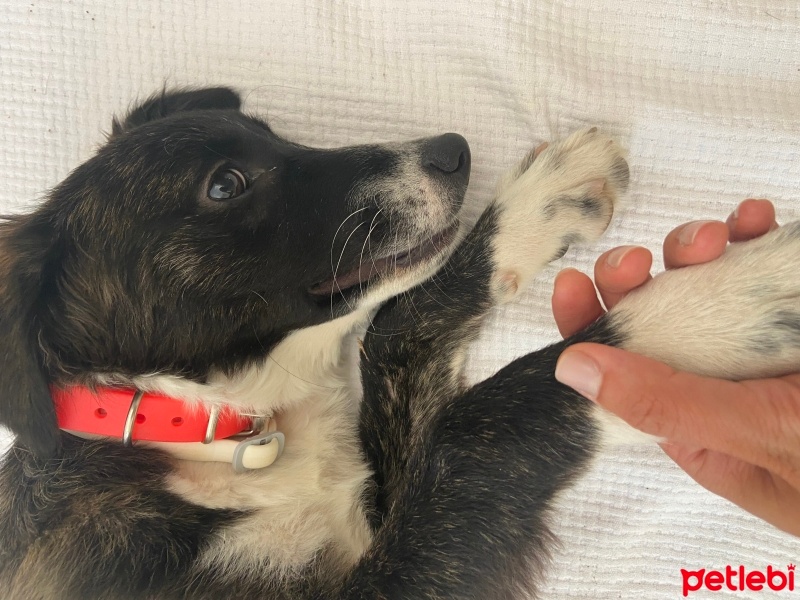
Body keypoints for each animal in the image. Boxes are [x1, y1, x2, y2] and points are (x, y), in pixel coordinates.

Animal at [1, 86, 800, 596]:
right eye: (225, 184)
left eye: (272, 132)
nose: (453, 150)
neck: (211, 425)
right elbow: (473, 431)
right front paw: (714, 310)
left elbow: (395, 331)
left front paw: (536, 206)